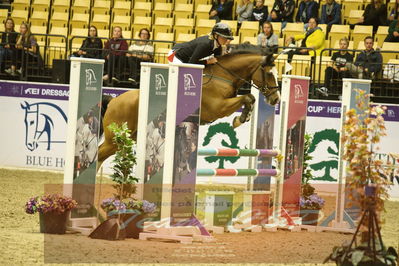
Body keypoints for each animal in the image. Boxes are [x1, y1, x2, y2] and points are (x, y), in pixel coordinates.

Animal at [99, 44, 282, 168]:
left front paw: (243, 117)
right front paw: (239, 119)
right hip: (116, 137)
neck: (223, 76)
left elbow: (250, 98)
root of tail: (114, 101)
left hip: (130, 137)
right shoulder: (218, 108)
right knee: (99, 154)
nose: (276, 99)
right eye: (269, 73)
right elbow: (247, 97)